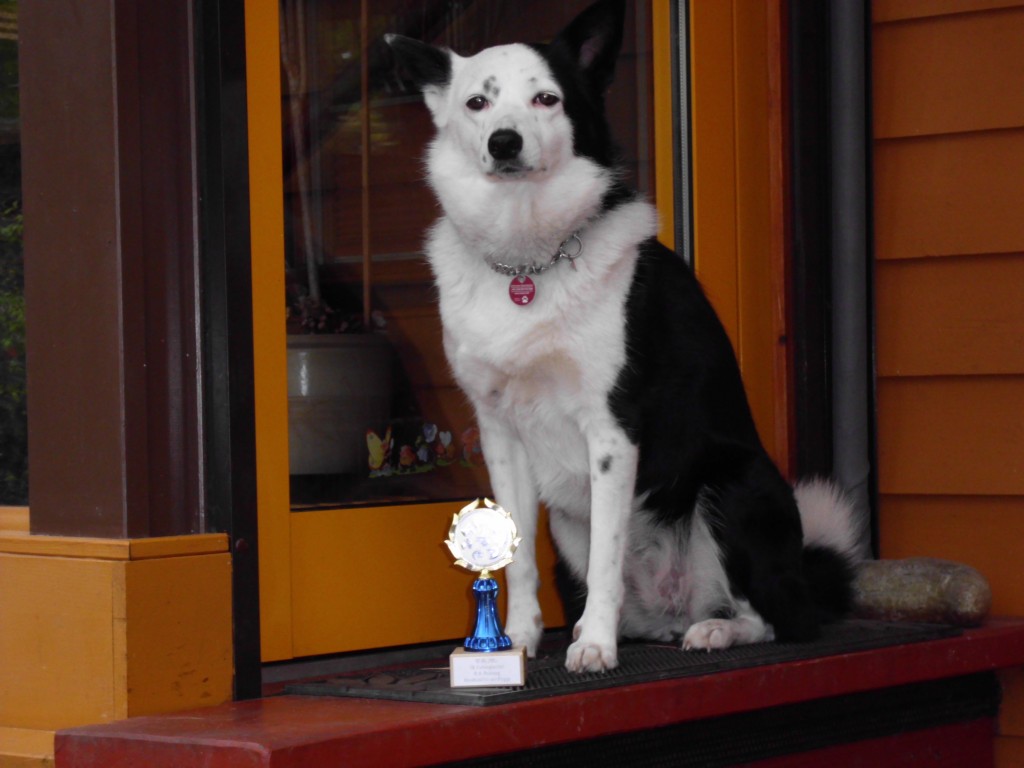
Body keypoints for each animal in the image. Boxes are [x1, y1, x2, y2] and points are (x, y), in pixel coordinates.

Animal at [387, 0, 860, 671]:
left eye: (547, 98)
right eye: (478, 103)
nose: (504, 142)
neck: (528, 261)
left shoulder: (612, 431)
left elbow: (608, 558)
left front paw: (594, 647)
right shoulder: (501, 434)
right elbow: (519, 565)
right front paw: (517, 643)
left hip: (733, 487)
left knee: (774, 619)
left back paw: (711, 631)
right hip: (568, 525)